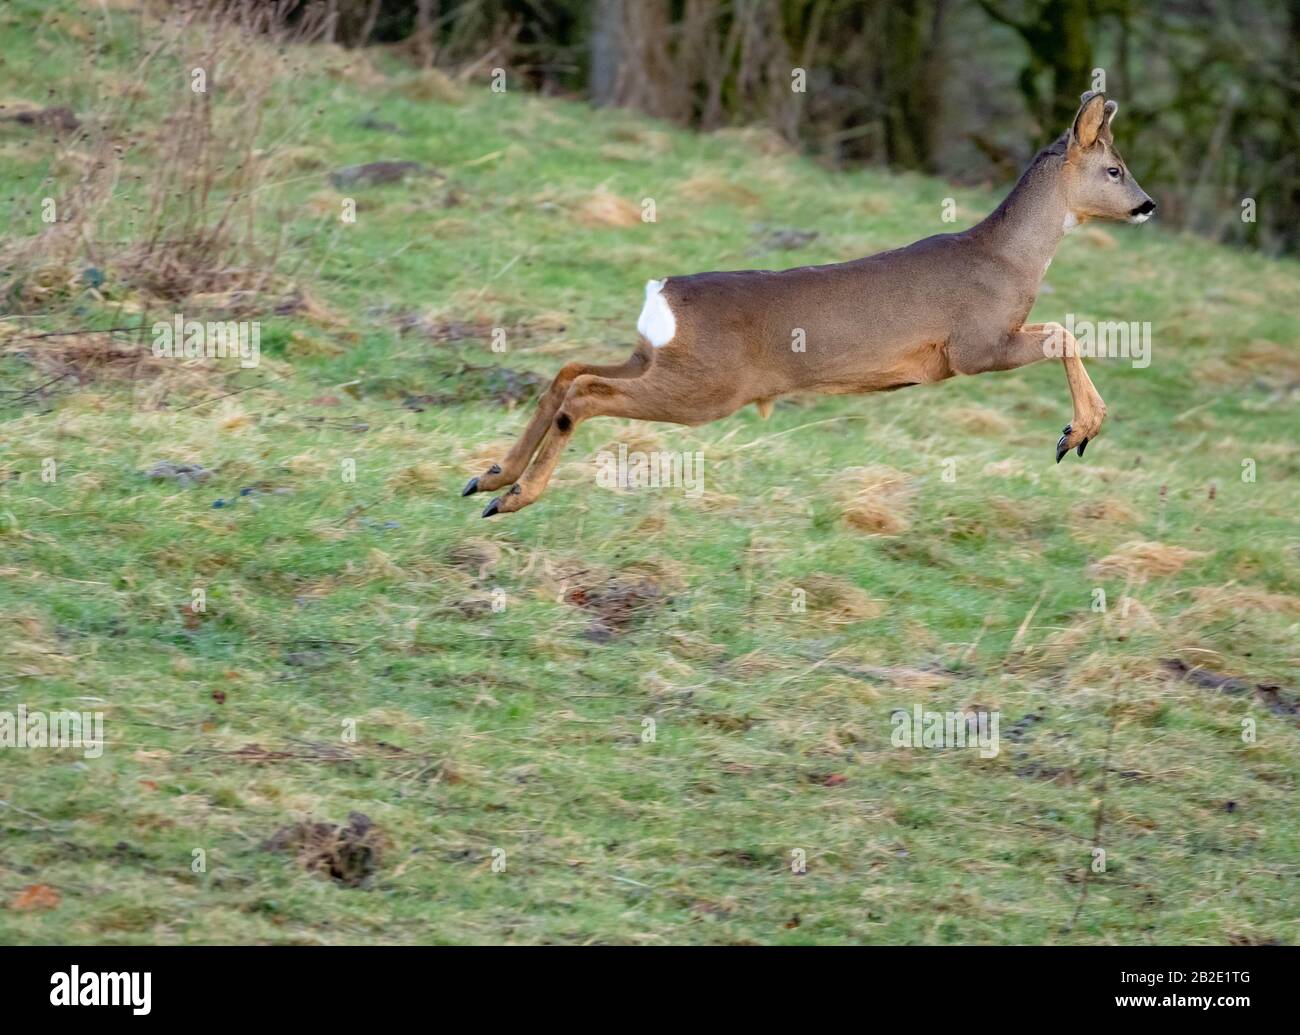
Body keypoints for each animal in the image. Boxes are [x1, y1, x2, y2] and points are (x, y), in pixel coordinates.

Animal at [461, 91, 1154, 517]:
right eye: (1115, 169)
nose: (1148, 205)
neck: (1010, 261)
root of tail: (663, 295)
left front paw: (1077, 430)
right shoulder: (972, 345)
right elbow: (1065, 332)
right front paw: (1077, 433)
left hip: (659, 361)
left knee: (568, 372)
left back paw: (487, 477)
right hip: (708, 385)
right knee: (583, 394)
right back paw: (513, 497)